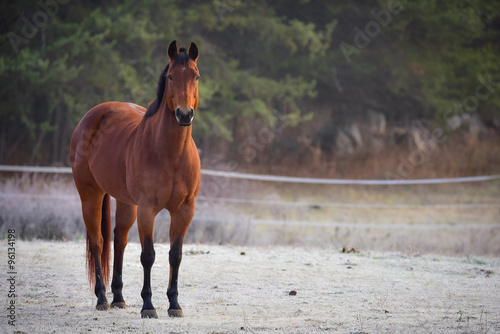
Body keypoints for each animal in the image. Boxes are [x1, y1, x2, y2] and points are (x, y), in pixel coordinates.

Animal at [70, 40, 201, 318]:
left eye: (196, 76)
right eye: (171, 76)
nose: (184, 114)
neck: (171, 153)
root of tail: (93, 115)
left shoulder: (185, 210)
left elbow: (175, 255)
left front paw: (174, 305)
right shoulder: (147, 209)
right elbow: (148, 255)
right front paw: (148, 306)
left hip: (126, 202)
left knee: (119, 239)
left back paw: (119, 298)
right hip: (90, 195)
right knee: (98, 243)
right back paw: (102, 299)